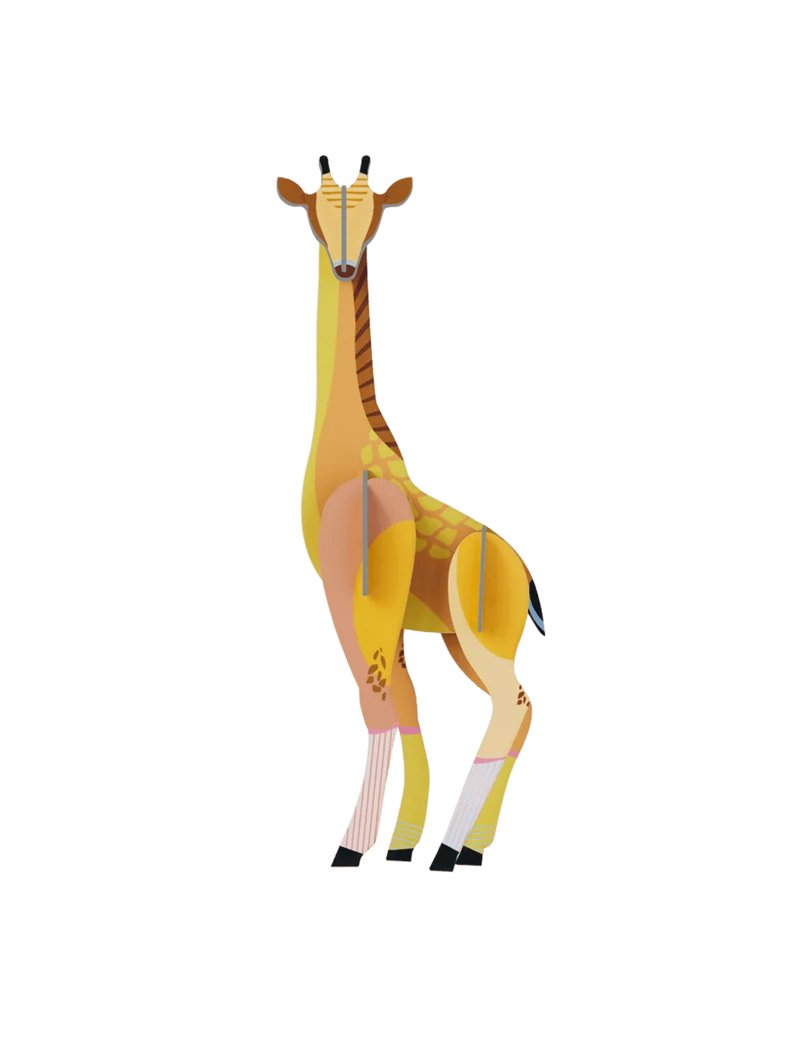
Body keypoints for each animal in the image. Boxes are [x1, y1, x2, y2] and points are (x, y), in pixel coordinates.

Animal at [277, 153, 547, 874]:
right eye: (318, 213)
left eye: (374, 214)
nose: (347, 267)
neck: (346, 446)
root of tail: (523, 572)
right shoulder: (388, 610)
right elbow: (408, 708)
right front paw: (398, 846)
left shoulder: (353, 591)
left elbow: (378, 707)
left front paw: (351, 847)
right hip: (466, 637)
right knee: (521, 705)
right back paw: (469, 849)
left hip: (474, 637)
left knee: (512, 702)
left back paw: (452, 851)